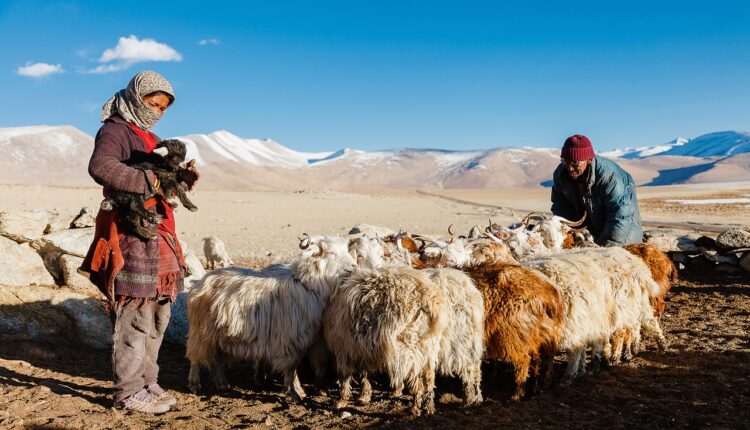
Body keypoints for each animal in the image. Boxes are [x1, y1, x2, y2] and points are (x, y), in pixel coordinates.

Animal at [184, 235, 356, 400]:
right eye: (331, 253)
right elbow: (291, 369)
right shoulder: (289, 340)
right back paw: (194, 384)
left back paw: (222, 384)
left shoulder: (305, 341)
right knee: (195, 359)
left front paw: (297, 390)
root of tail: (200, 282)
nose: (354, 267)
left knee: (216, 362)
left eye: (346, 250)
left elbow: (298, 367)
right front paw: (294, 393)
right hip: (200, 333)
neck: (307, 285)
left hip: (218, 336)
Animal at [324, 266, 452, 416]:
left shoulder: (343, 348)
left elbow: (345, 376)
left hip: (408, 347)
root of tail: (430, 300)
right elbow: (364, 372)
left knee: (416, 380)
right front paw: (365, 395)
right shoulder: (361, 348)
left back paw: (414, 408)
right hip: (429, 348)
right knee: (429, 378)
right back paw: (430, 407)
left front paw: (341, 401)